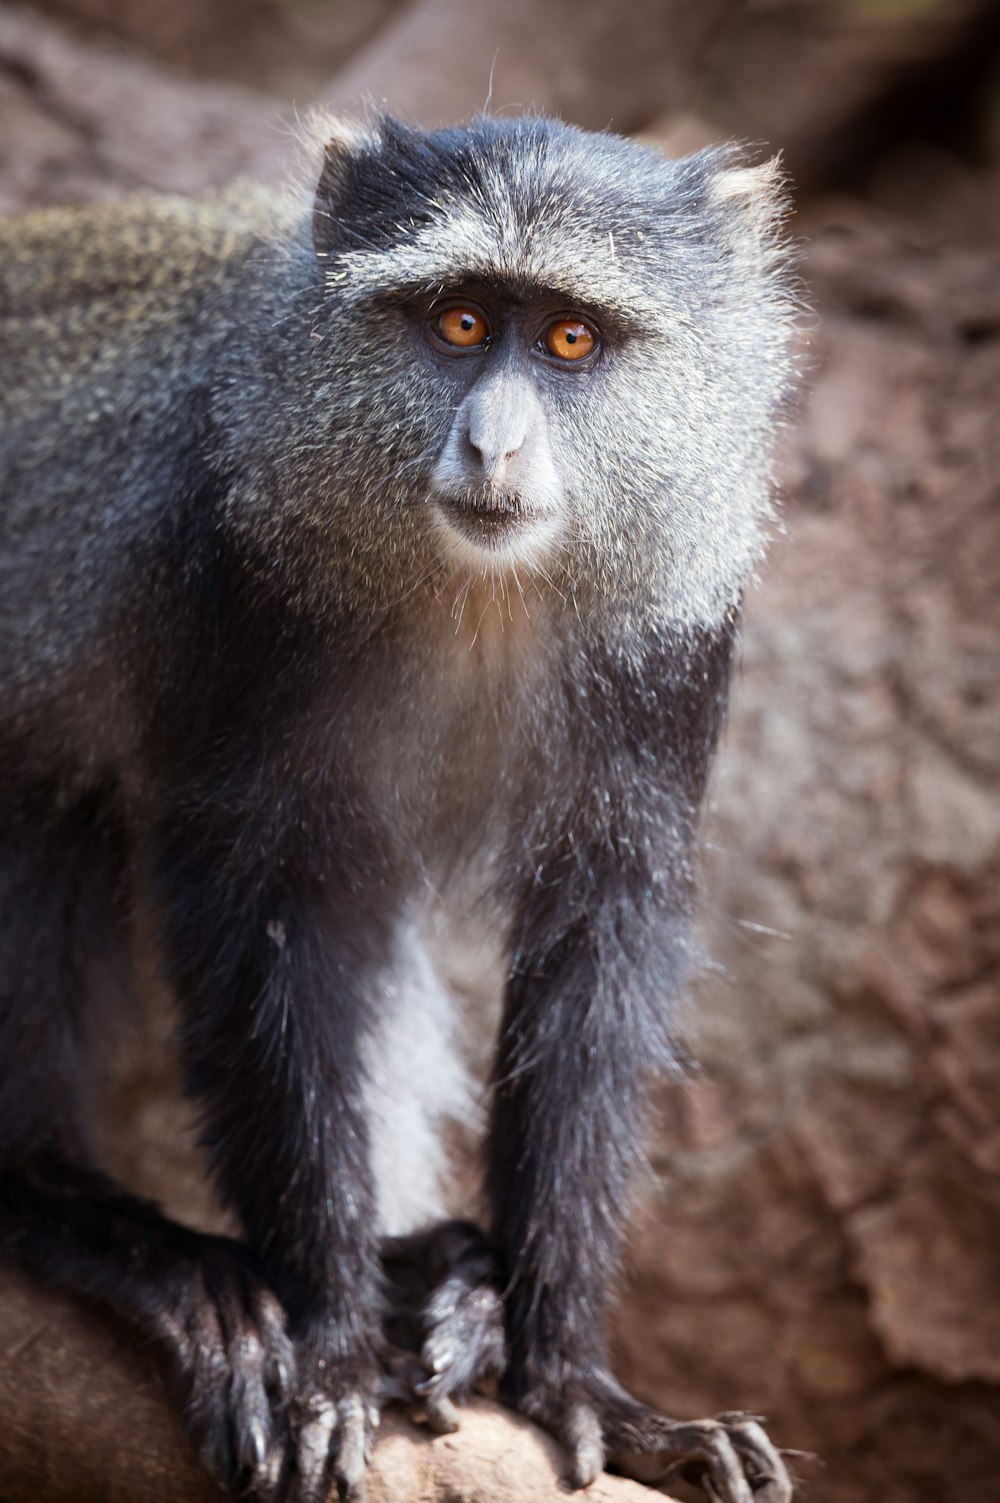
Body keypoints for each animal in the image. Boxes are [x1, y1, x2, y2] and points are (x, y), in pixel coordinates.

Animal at [0, 111, 793, 1496]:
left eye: (570, 339)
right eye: (460, 324)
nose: (491, 444)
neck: (473, 589)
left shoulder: (674, 640)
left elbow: (599, 945)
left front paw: (573, 1375)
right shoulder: (237, 578)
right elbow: (262, 929)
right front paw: (330, 1345)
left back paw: (441, 1281)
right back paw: (76, 1212)